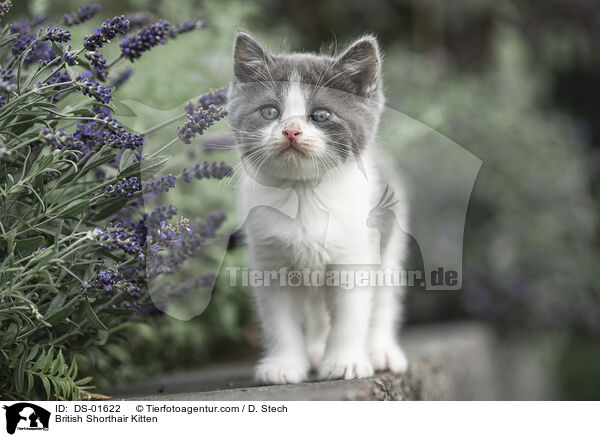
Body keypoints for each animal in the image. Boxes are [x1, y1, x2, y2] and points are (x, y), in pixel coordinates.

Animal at [226, 30, 408, 384]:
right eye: (270, 112)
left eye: (320, 115)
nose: (291, 130)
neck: (304, 195)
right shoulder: (270, 262)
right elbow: (280, 321)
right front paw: (284, 365)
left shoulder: (355, 256)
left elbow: (352, 316)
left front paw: (345, 361)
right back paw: (313, 351)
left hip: (389, 244)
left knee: (382, 303)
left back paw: (381, 351)